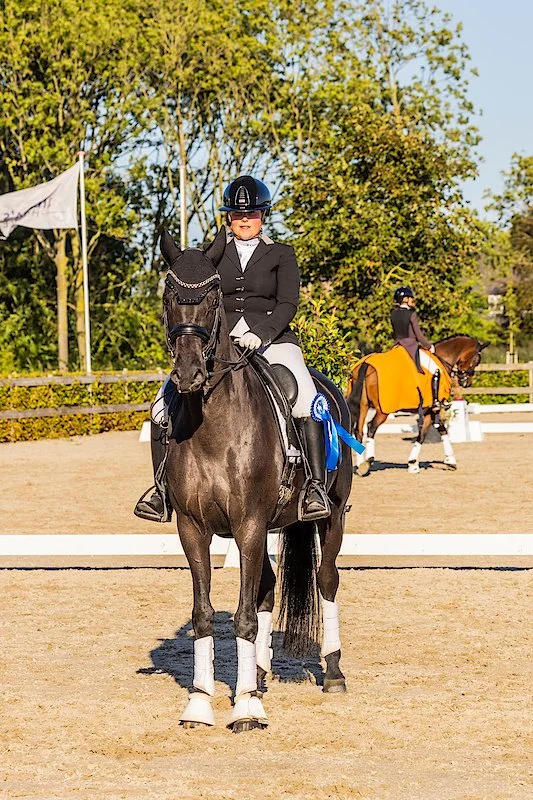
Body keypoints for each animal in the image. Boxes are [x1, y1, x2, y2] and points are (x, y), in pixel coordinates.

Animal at [159, 227, 353, 733]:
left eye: (211, 297)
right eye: (168, 295)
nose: (188, 374)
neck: (212, 426)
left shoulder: (247, 522)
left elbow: (243, 617)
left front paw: (245, 708)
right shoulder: (193, 527)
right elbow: (205, 614)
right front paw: (201, 703)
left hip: (331, 516)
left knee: (326, 580)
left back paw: (333, 672)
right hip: (267, 526)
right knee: (266, 587)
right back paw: (261, 672)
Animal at [347, 335, 488, 475]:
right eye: (476, 360)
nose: (467, 383)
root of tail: (367, 363)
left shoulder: (429, 411)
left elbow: (440, 431)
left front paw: (449, 461)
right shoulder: (432, 410)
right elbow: (423, 435)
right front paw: (414, 463)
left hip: (363, 406)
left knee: (358, 430)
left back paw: (359, 466)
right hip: (383, 410)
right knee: (371, 427)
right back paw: (368, 461)